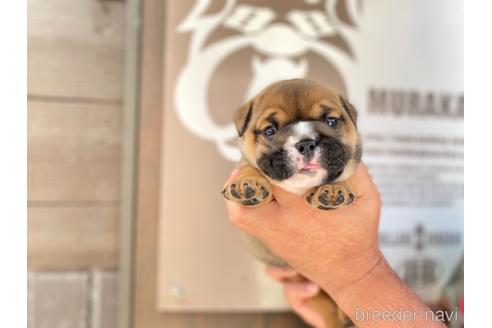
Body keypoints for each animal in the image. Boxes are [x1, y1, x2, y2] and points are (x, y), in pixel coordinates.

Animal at [223, 78, 362, 326]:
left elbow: (344, 173)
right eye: (270, 130)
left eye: (330, 121)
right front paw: (247, 183)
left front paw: (333, 189)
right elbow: (248, 166)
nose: (305, 143)